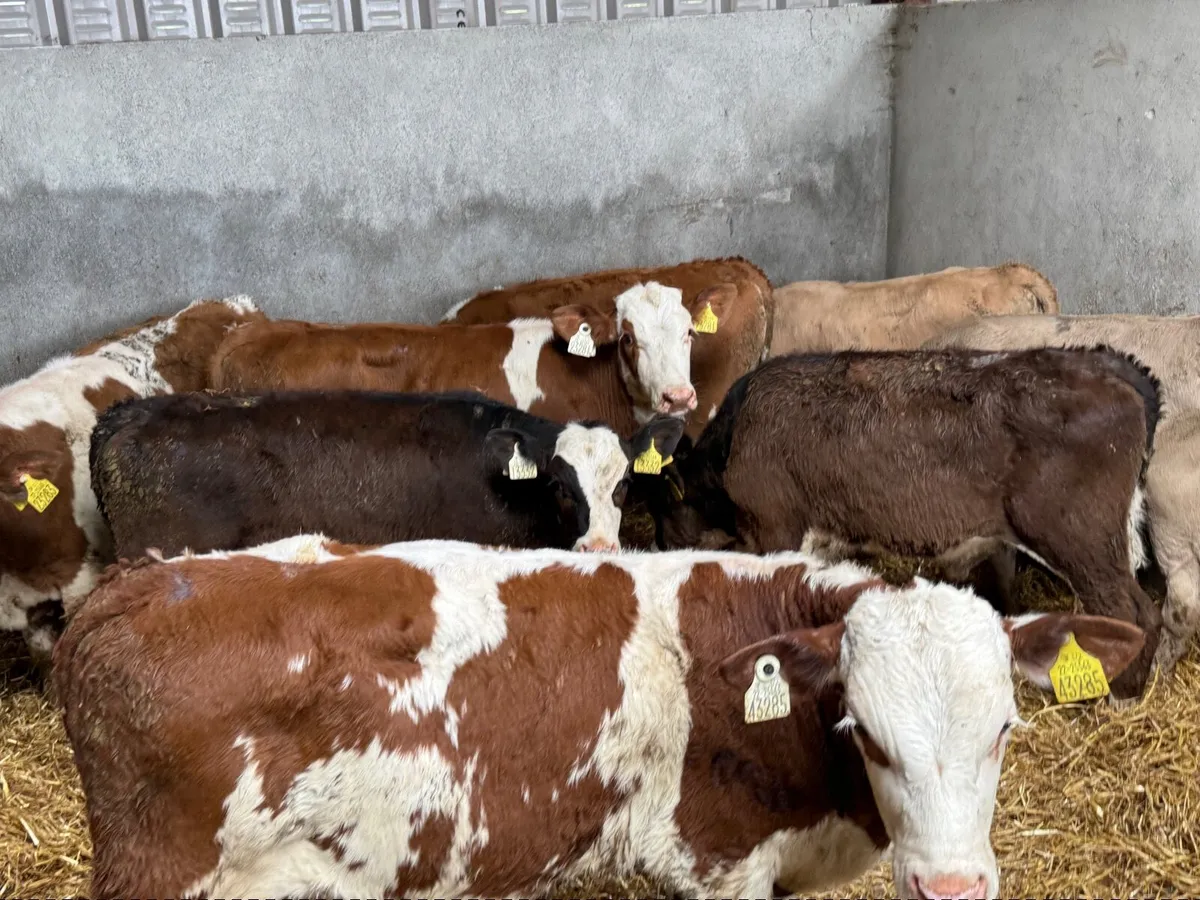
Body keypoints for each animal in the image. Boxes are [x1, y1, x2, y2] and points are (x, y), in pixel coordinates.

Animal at [640, 347, 1162, 701]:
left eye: (662, 509)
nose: (661, 549)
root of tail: (1107, 363)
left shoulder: (774, 529)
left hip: (1079, 539)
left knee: (1133, 611)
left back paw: (1119, 692)